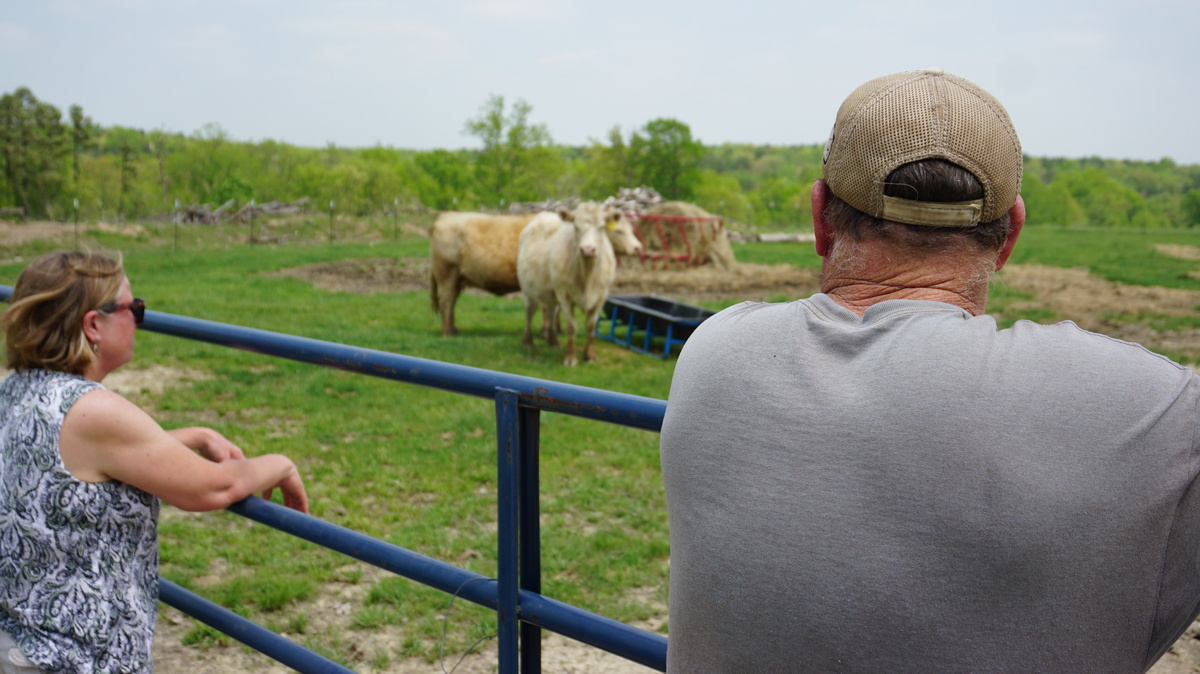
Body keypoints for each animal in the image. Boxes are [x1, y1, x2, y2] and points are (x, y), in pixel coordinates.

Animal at [518, 201, 619, 364]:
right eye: (575, 227)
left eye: (602, 227)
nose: (588, 250)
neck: (587, 275)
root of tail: (545, 214)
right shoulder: (565, 296)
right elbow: (572, 326)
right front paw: (571, 357)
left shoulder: (601, 296)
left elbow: (590, 326)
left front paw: (590, 355)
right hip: (528, 290)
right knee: (529, 313)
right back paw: (528, 342)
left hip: (551, 294)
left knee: (551, 313)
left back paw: (553, 341)